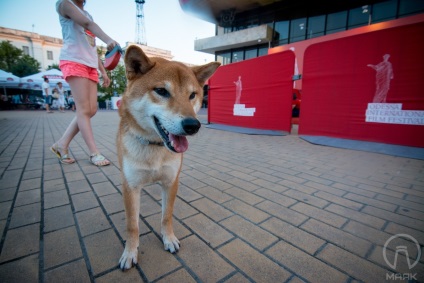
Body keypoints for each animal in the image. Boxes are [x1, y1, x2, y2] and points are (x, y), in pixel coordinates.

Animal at [117, 44, 220, 270]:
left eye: (193, 95)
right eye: (162, 91)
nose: (193, 125)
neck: (154, 147)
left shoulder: (171, 181)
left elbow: (167, 216)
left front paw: (169, 239)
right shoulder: (130, 186)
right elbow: (132, 225)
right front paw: (130, 252)